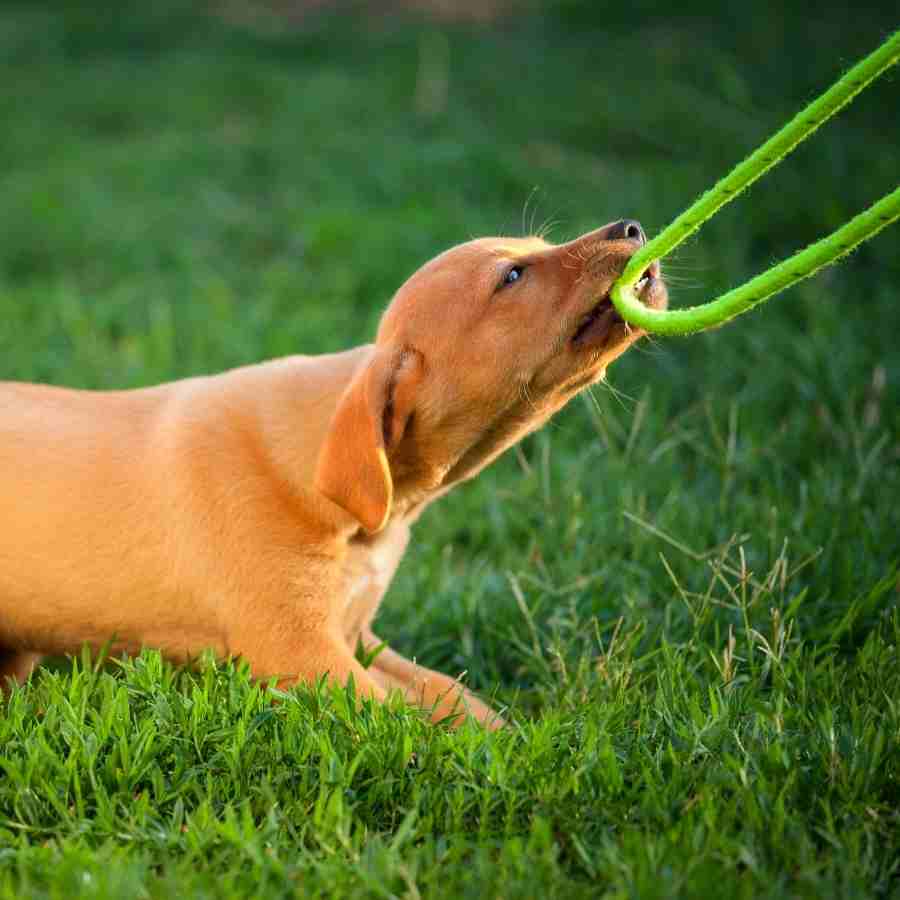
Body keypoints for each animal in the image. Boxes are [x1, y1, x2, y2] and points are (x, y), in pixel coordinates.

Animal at [0, 221, 660, 728]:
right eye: (512, 277)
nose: (631, 228)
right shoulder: (303, 650)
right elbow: (399, 717)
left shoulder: (357, 633)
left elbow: (446, 690)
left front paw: (504, 737)